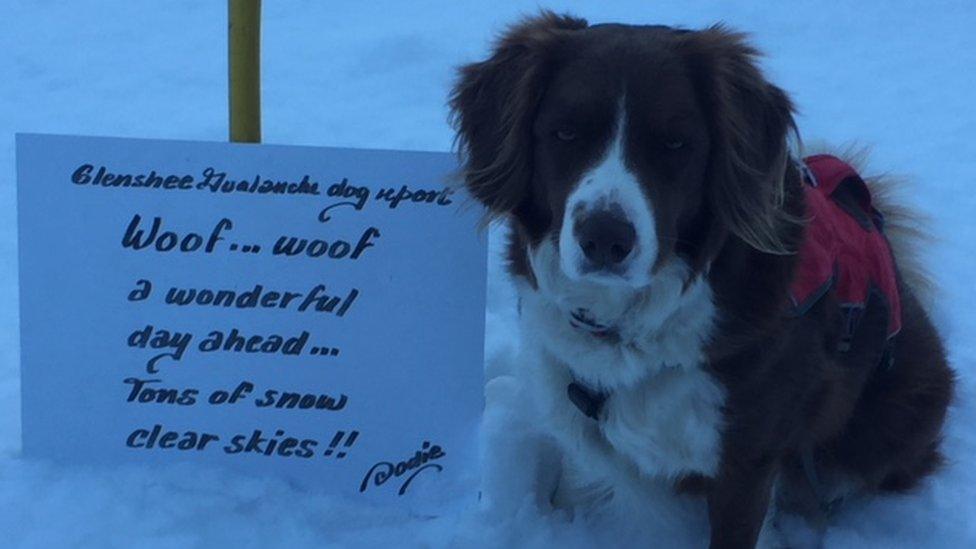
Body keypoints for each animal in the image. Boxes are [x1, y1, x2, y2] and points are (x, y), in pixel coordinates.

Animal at [450, 11, 952, 548]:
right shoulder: (573, 407)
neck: (628, 328)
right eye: (565, 133)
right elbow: (574, 485)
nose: (604, 239)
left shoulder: (747, 460)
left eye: (675, 143)